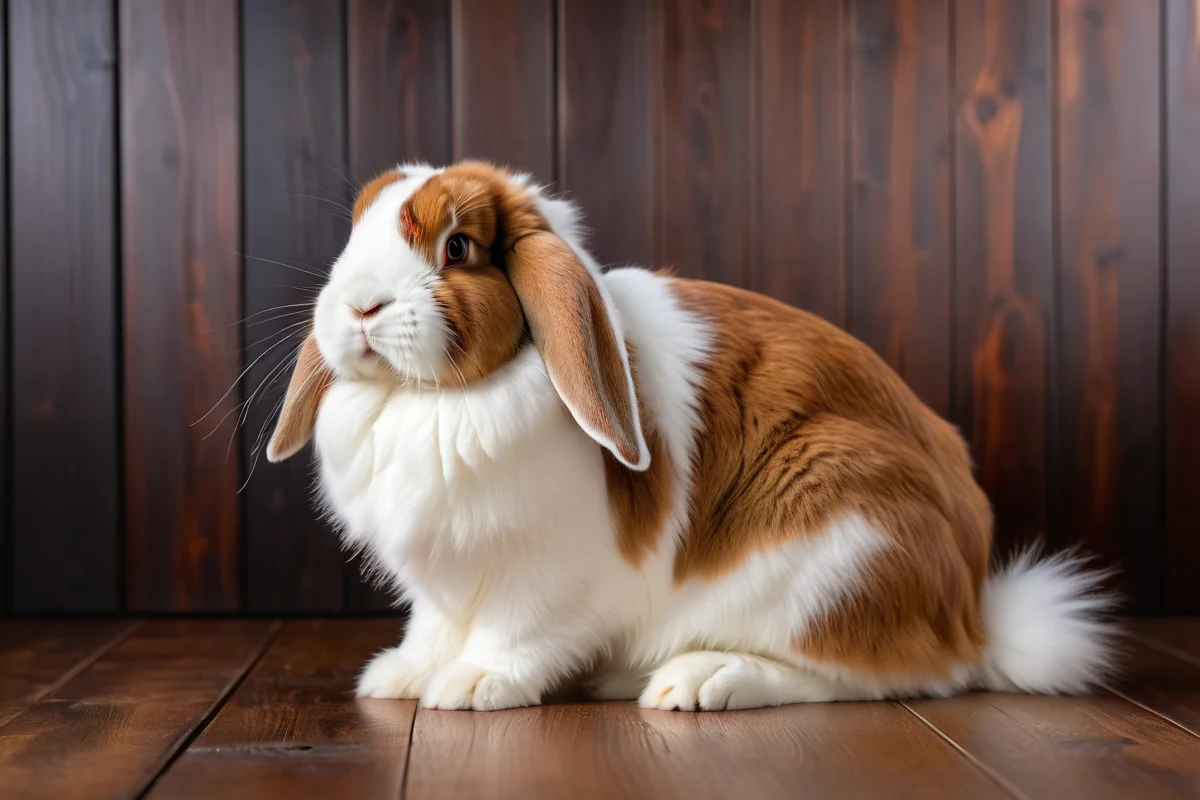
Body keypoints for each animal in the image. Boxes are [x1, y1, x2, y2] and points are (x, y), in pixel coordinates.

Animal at [265, 160, 1117, 711]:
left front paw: (472, 687)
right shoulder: (441, 590)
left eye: (457, 247)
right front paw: (399, 676)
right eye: (354, 235)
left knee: (889, 676)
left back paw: (699, 681)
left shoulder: (542, 580)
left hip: (838, 548)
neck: (430, 402)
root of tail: (971, 610)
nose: (359, 306)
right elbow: (434, 629)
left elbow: (517, 635)